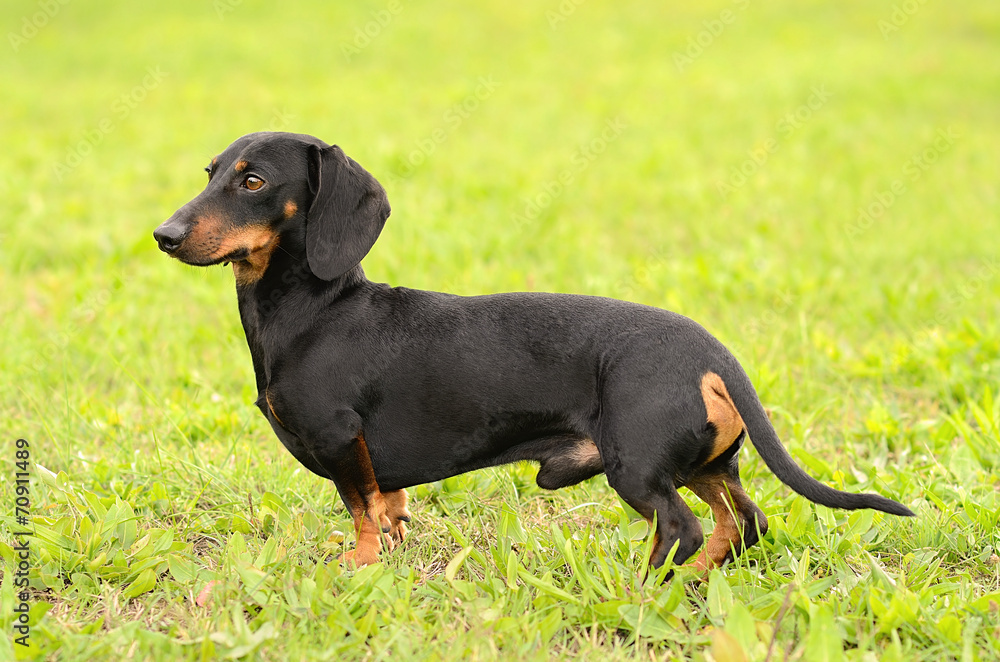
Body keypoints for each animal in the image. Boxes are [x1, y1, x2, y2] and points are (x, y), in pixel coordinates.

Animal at [154, 134, 916, 572]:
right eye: (211, 171)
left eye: (253, 181)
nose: (164, 235)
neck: (318, 311)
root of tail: (713, 354)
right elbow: (389, 506)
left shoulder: (342, 440)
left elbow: (362, 510)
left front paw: (359, 566)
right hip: (706, 462)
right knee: (743, 523)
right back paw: (691, 588)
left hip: (637, 466)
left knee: (684, 530)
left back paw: (646, 595)